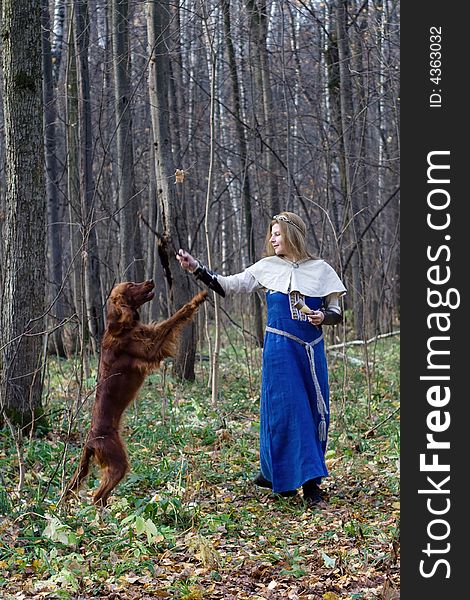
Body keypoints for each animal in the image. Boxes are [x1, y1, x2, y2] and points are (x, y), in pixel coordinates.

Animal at [64, 282, 207, 506]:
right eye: (131, 285)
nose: (150, 281)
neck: (123, 325)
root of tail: (89, 441)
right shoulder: (150, 348)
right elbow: (173, 319)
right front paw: (197, 298)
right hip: (117, 461)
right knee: (97, 496)